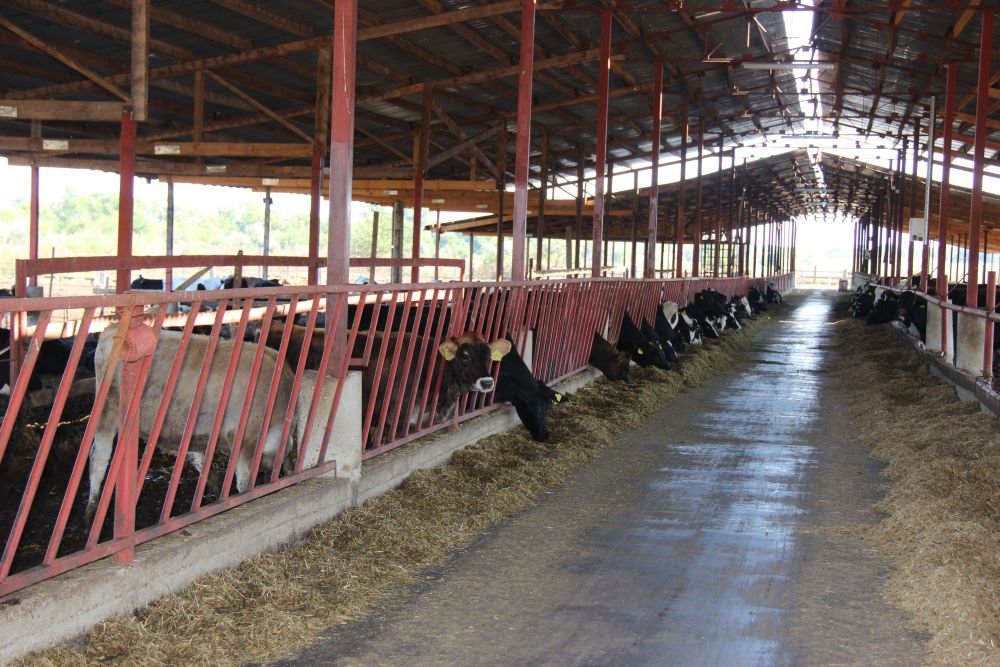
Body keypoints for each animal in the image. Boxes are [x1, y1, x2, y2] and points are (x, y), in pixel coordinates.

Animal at [87, 325, 298, 518]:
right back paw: (91, 510)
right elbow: (244, 482)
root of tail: (110, 330)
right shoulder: (244, 439)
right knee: (99, 457)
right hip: (107, 411)